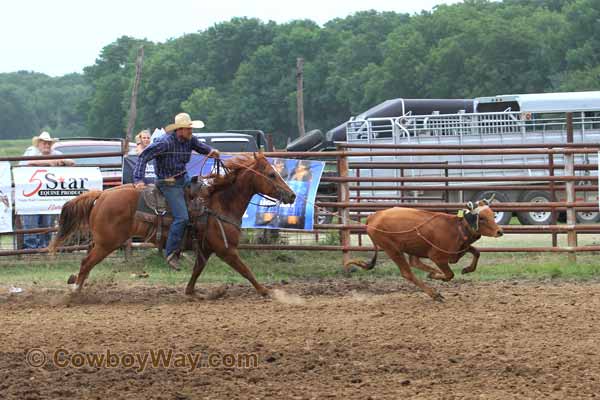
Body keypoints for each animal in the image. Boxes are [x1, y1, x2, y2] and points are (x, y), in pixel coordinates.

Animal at [49, 153, 296, 296]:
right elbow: (246, 270)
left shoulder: (206, 248)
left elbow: (197, 270)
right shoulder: (226, 250)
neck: (220, 203)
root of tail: (101, 195)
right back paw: (75, 291)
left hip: (100, 241)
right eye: (271, 174)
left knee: (86, 262)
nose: (292, 195)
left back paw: (74, 283)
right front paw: (266, 291)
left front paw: (190, 292)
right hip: (106, 244)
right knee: (86, 263)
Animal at [344, 195, 504, 302]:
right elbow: (449, 274)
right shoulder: (437, 257)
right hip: (392, 248)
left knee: (414, 262)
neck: (456, 228)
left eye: (493, 215)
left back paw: (432, 274)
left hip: (412, 246)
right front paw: (438, 276)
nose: (500, 231)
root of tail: (373, 216)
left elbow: (476, 252)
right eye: (481, 218)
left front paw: (466, 269)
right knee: (408, 272)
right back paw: (434, 292)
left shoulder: (460, 249)